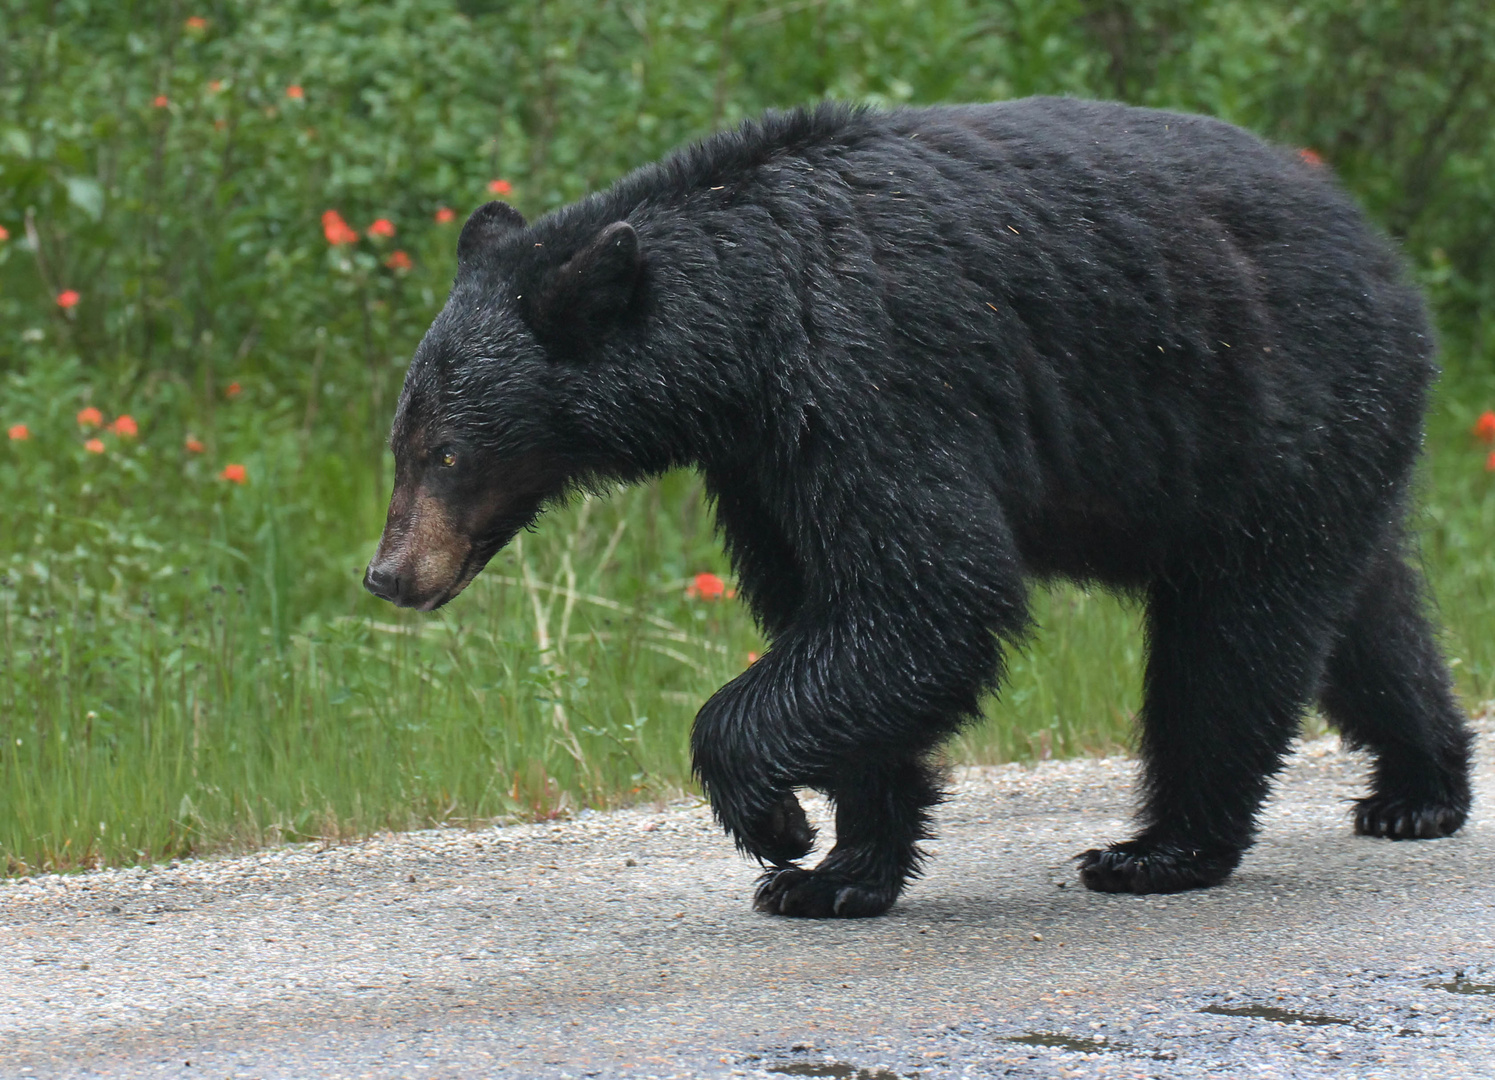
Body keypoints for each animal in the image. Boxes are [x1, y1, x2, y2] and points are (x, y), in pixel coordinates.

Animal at [364, 96, 1471, 915]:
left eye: (447, 450)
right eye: (402, 443)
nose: (389, 573)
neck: (748, 325)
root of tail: (1387, 258)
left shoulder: (875, 382)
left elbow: (926, 599)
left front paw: (774, 822)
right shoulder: (763, 459)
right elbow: (839, 617)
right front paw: (836, 870)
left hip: (1272, 408)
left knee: (1231, 642)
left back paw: (1160, 849)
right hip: (1299, 453)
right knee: (1364, 614)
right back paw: (1419, 789)